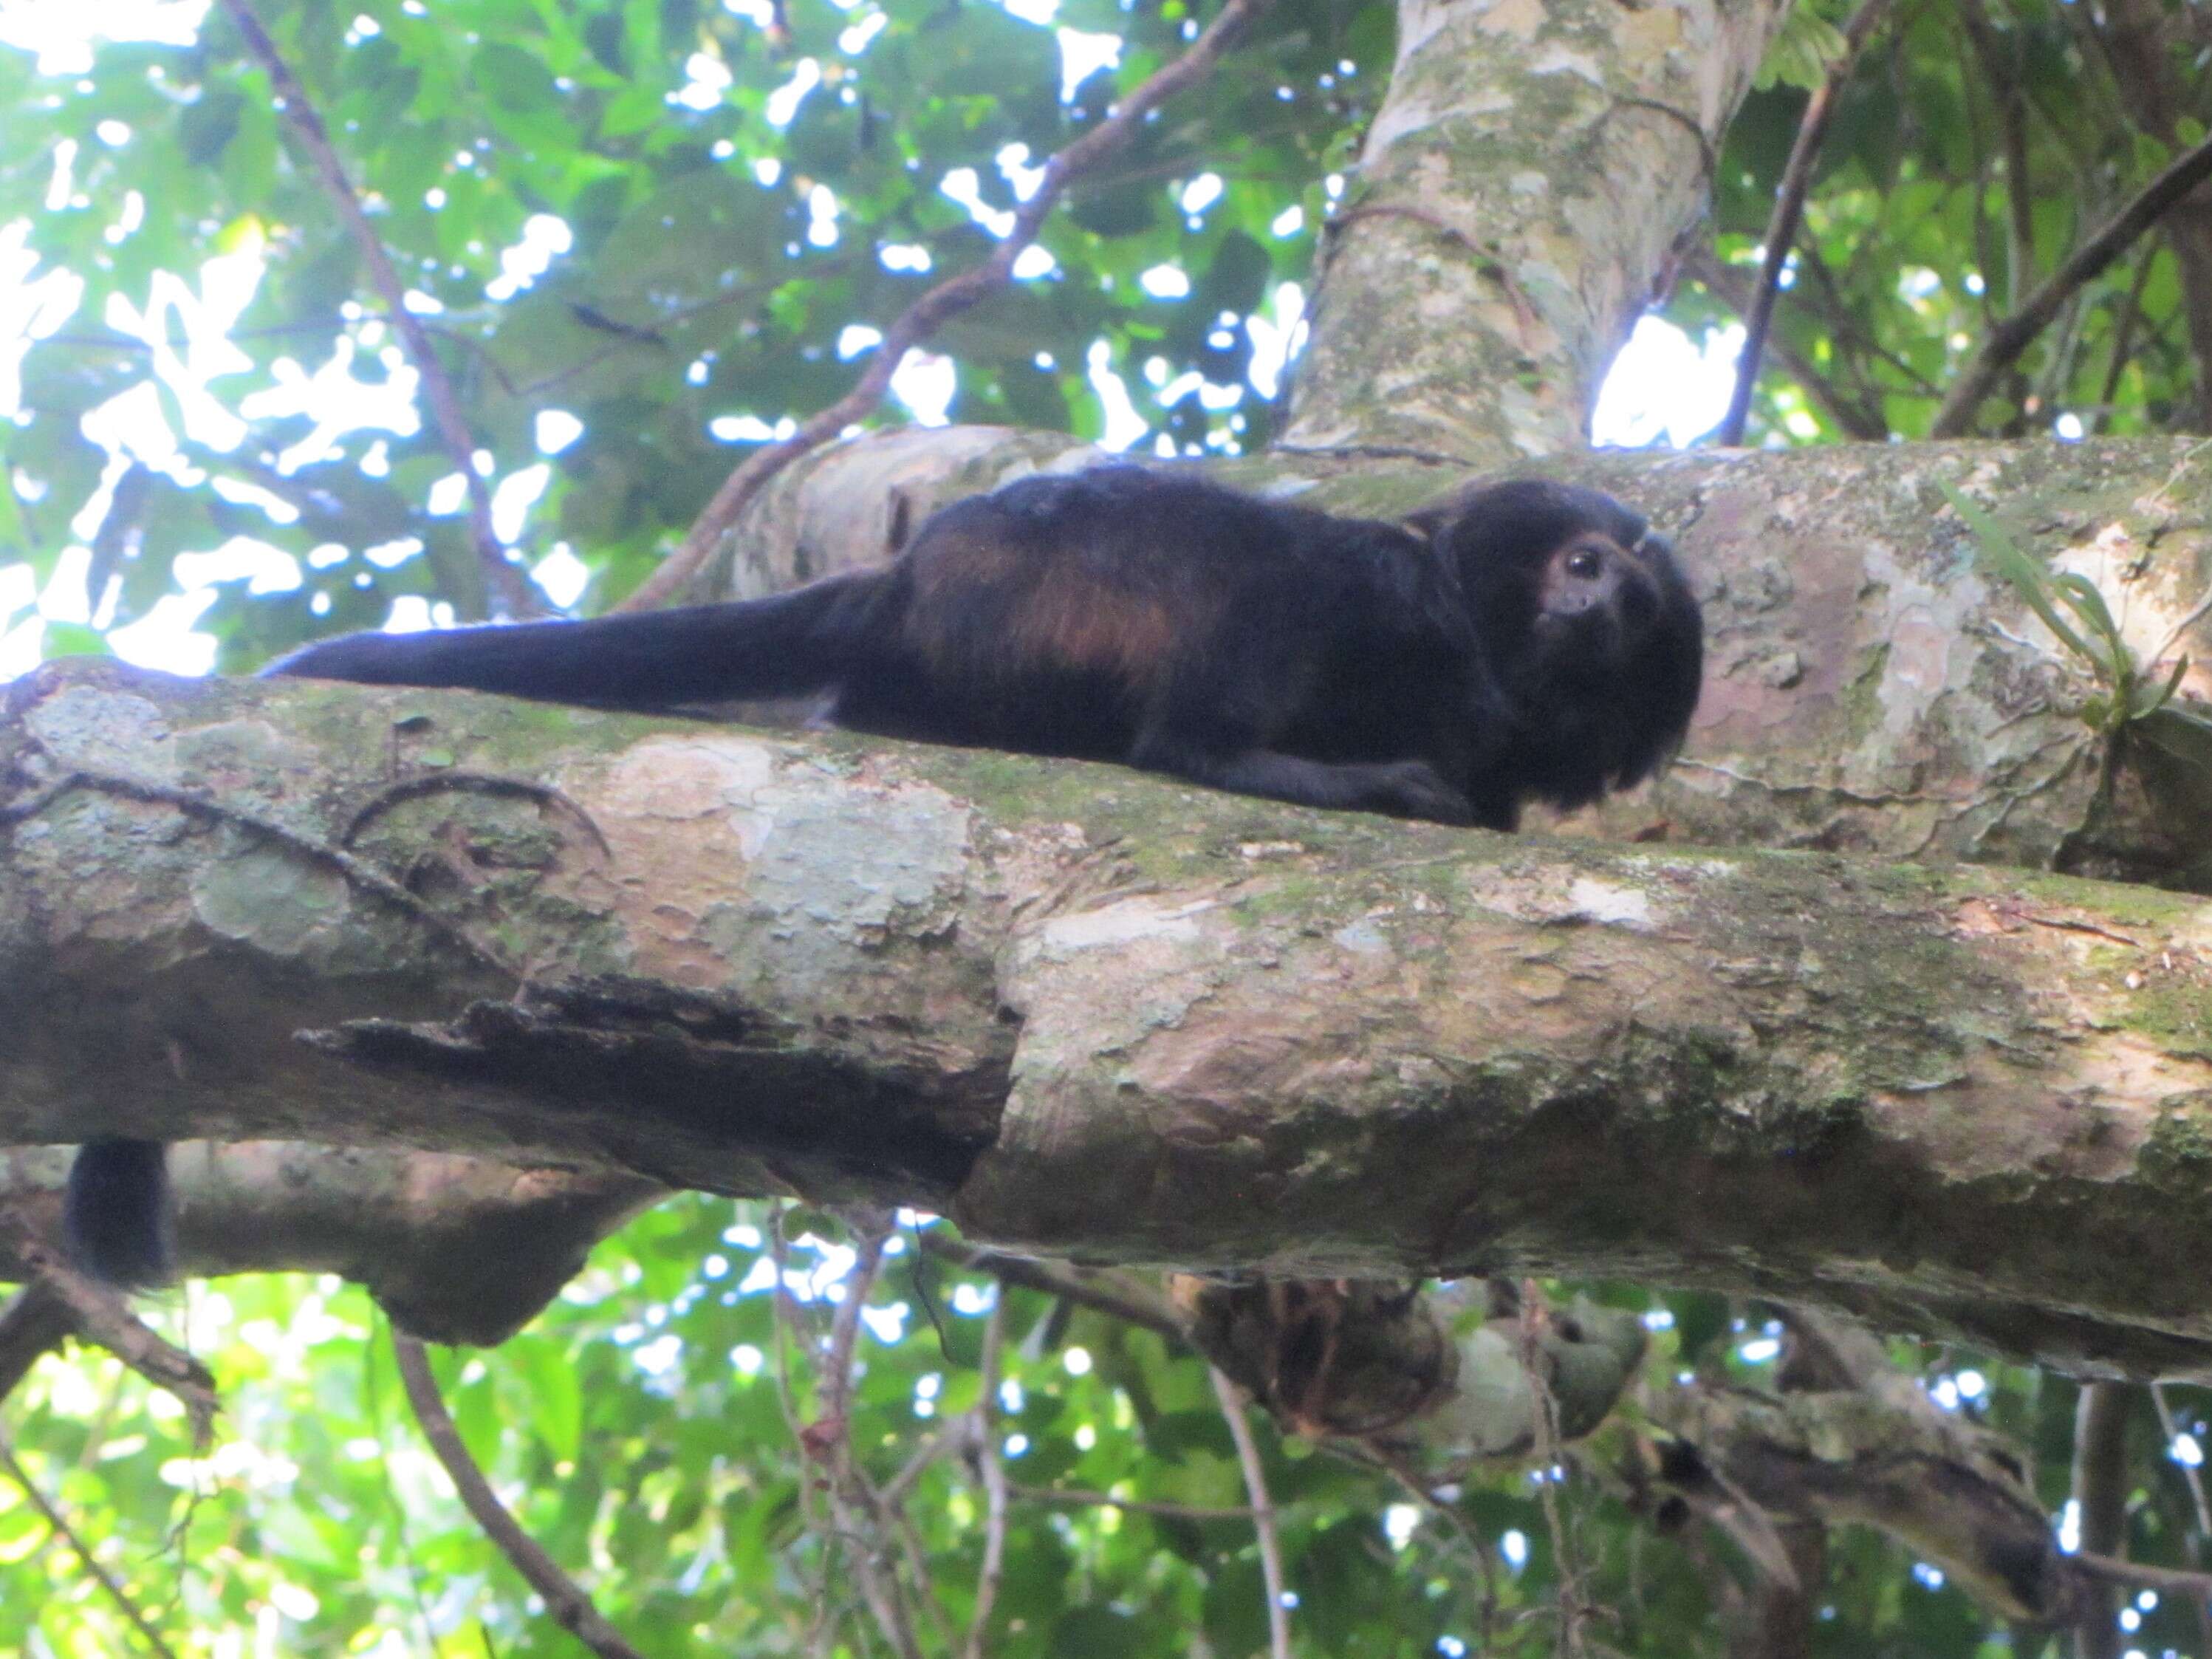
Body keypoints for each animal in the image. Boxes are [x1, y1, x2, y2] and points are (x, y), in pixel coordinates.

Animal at [64, 468, 1690, 1282]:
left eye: (1633, 592)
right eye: (1580, 561)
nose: (1601, 593)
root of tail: (912, 577)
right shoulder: (1418, 605)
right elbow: (1337, 582)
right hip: (1053, 585)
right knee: (1266, 579)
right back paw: (1249, 757)